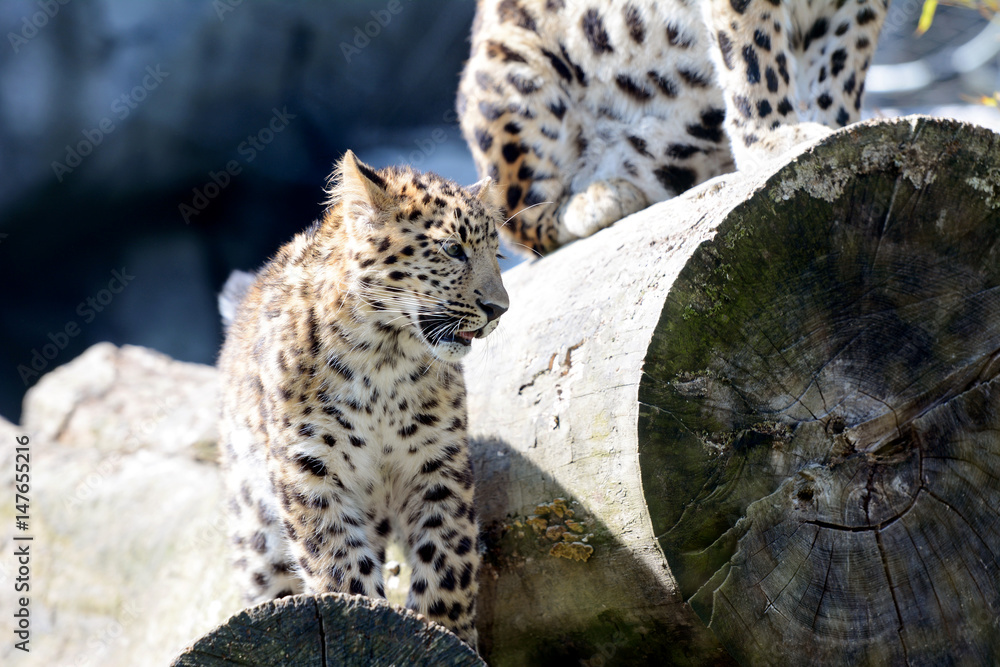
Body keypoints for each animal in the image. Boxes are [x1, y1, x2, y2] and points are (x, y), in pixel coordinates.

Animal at [217, 150, 509, 649]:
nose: (499, 309)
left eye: (498, 254)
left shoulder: (436, 464)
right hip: (255, 534)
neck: (384, 360)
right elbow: (339, 564)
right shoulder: (310, 471)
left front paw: (446, 632)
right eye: (453, 249)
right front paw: (363, 615)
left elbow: (448, 557)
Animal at [458, 0, 888, 255]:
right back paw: (599, 198)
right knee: (516, 218)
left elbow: (844, 61)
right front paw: (772, 139)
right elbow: (755, 54)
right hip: (512, 77)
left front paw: (841, 126)